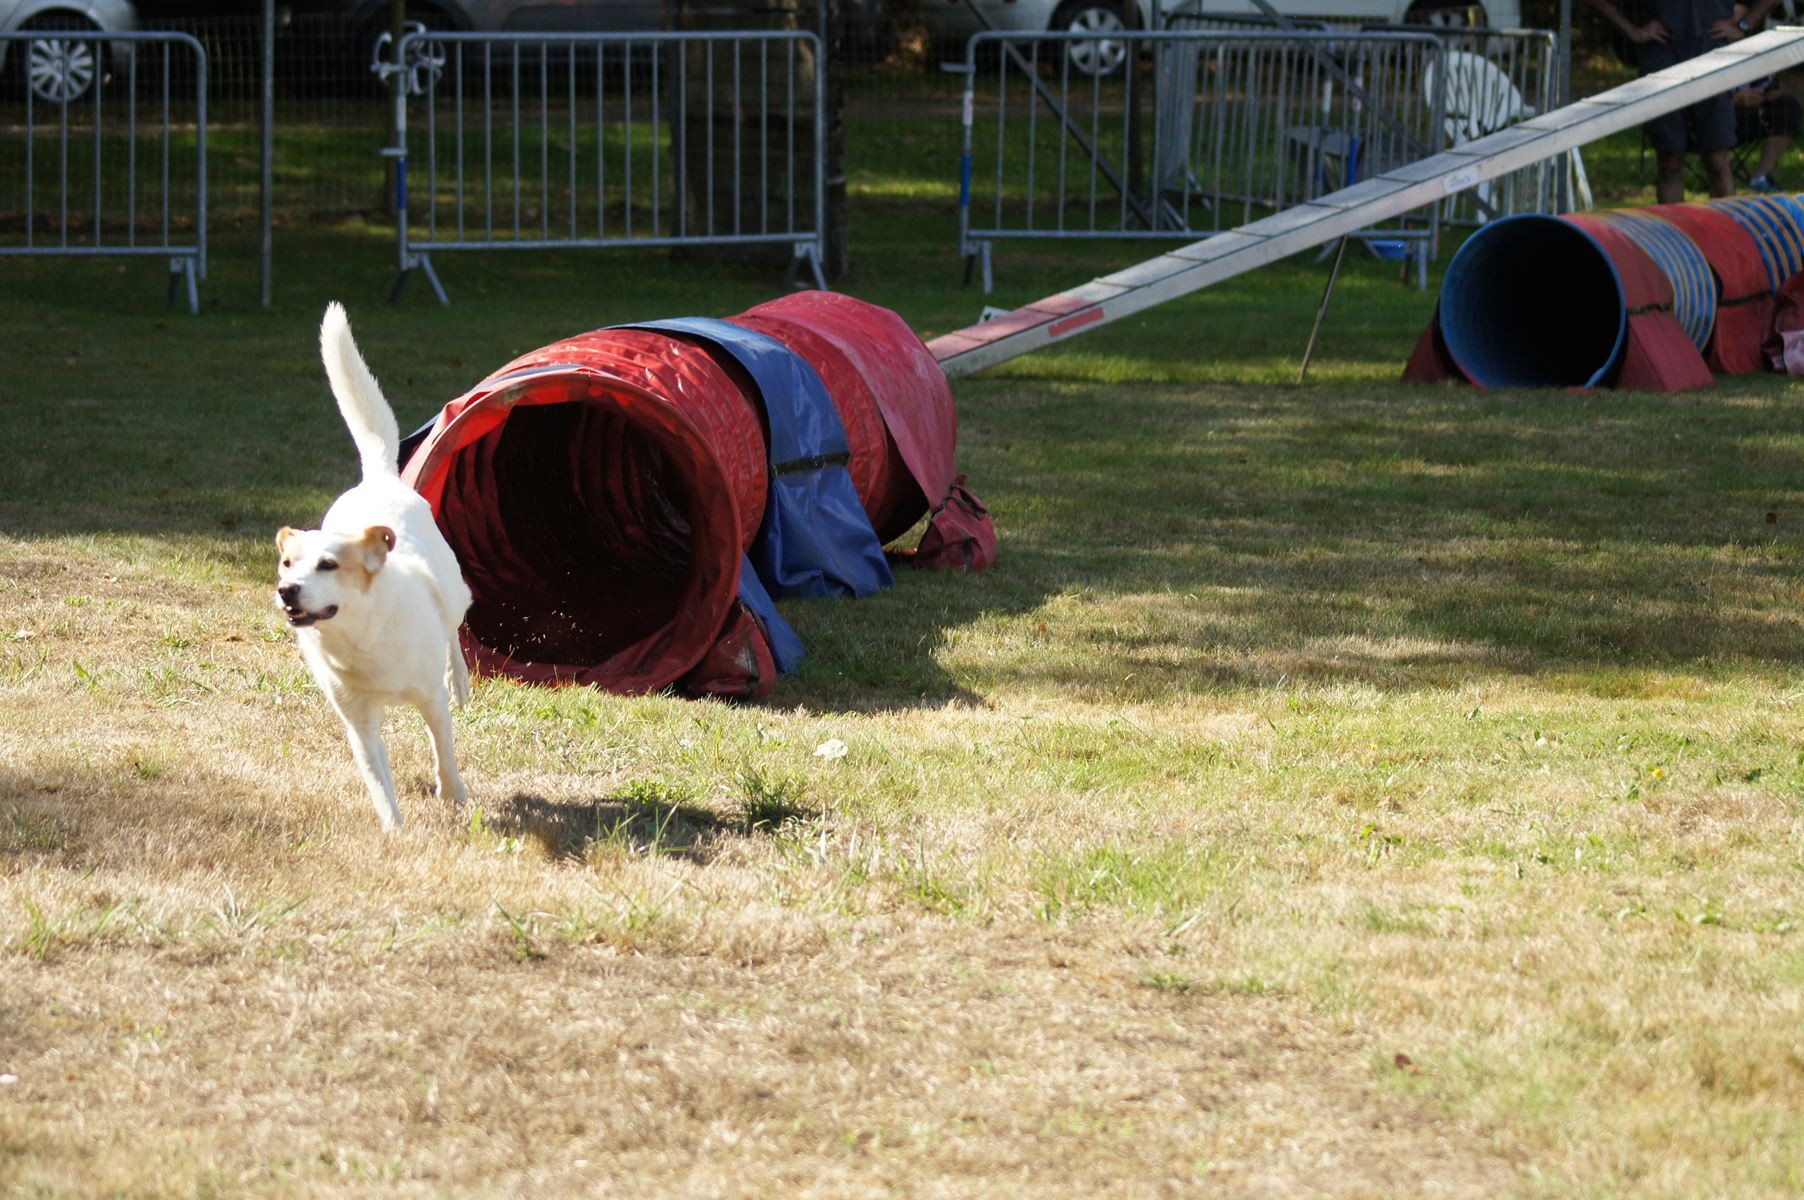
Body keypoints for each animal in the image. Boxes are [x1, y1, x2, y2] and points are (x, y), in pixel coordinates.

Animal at [274, 299, 472, 833]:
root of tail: (379, 477)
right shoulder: (360, 724)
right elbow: (379, 781)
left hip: (454, 592)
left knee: (454, 632)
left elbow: (444, 752)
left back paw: (463, 682)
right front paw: (395, 833)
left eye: (328, 565)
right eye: (286, 565)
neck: (362, 637)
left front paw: (455, 796)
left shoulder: (429, 701)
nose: (287, 591)